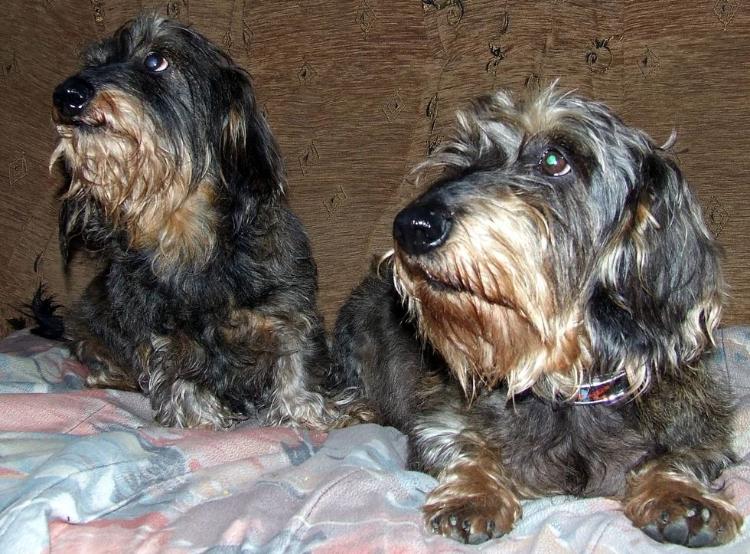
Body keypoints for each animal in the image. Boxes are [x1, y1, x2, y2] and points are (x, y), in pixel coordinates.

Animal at [50, 14, 339, 430]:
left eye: (156, 60)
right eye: (95, 62)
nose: (66, 95)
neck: (188, 236)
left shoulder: (288, 309)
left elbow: (294, 361)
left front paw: (303, 412)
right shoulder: (163, 334)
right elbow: (179, 375)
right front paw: (201, 419)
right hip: (85, 324)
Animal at [332, 86, 743, 546]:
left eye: (554, 159)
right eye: (461, 159)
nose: (411, 227)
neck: (567, 386)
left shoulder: (700, 429)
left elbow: (677, 456)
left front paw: (683, 495)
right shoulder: (439, 421)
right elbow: (467, 445)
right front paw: (474, 494)